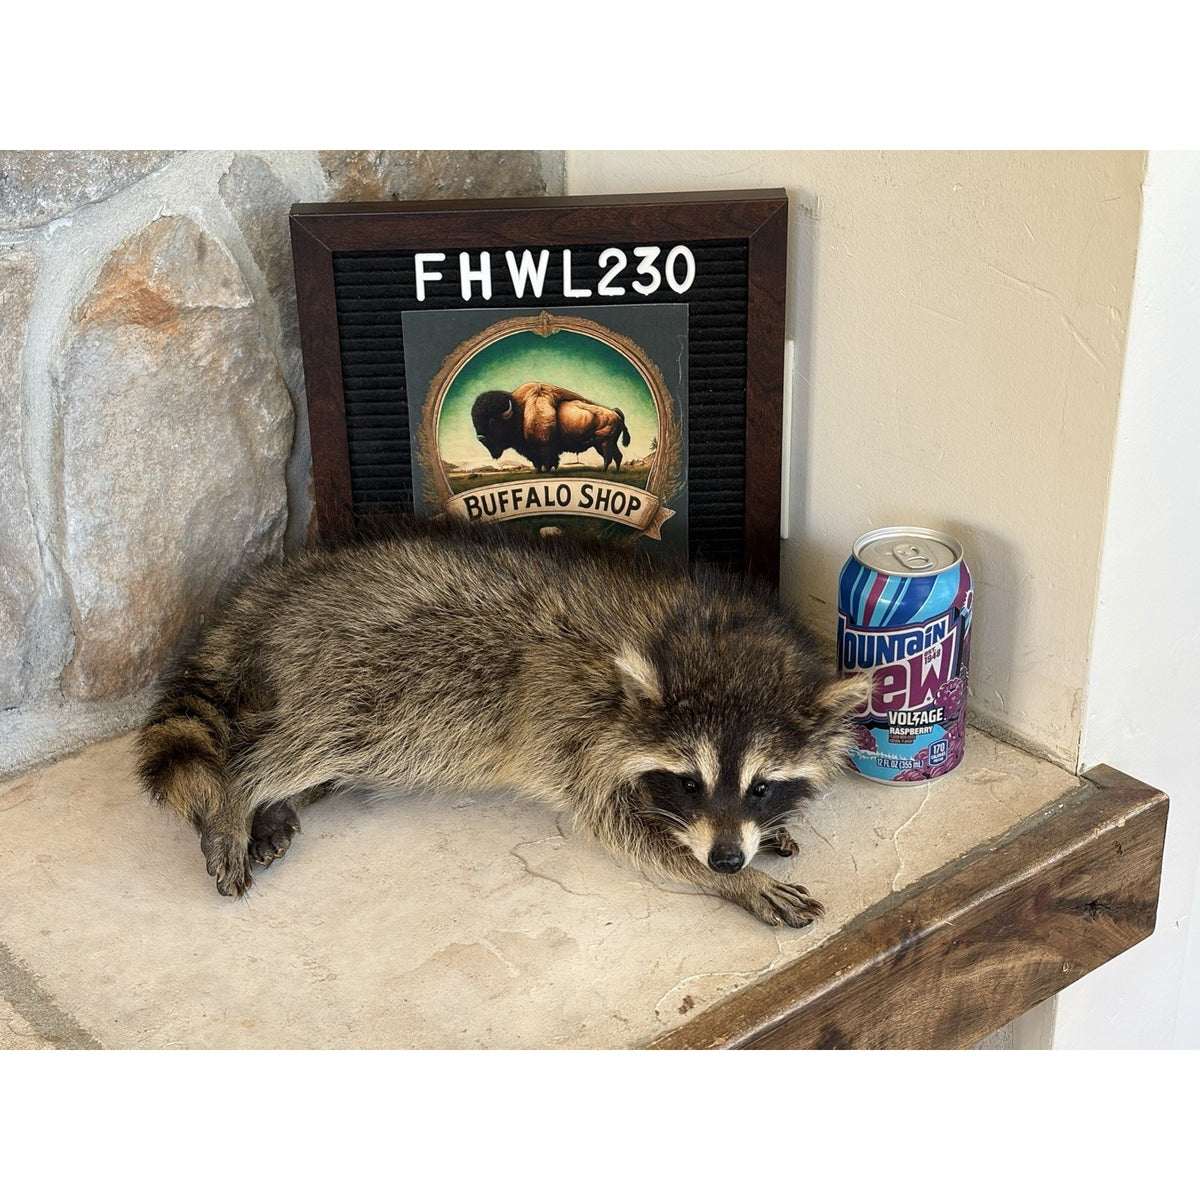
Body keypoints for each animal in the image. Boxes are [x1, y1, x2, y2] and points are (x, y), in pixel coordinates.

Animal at [136, 518, 868, 927]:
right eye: (689, 783)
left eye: (762, 786)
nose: (724, 859)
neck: (712, 634)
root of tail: (282, 583)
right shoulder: (582, 727)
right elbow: (622, 824)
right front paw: (739, 882)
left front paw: (759, 841)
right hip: (365, 671)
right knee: (305, 739)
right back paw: (242, 791)